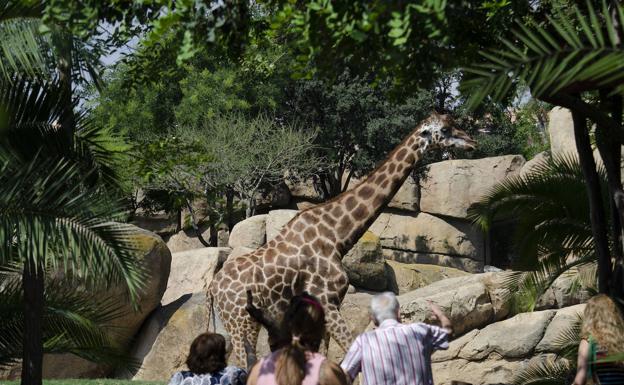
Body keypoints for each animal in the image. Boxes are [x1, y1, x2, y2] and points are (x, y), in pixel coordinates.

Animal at [210, 110, 478, 364]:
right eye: (445, 129)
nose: (472, 142)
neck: (337, 236)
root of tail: (213, 288)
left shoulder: (333, 303)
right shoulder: (326, 301)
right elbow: (348, 350)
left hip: (232, 325)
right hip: (241, 322)